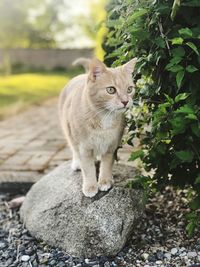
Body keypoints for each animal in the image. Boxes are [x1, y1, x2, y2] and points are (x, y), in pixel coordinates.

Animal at [59, 57, 138, 198]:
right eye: (111, 90)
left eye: (129, 89)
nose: (125, 101)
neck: (104, 117)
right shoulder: (84, 148)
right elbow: (88, 168)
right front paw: (90, 187)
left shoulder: (112, 146)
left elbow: (106, 164)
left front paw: (105, 181)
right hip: (68, 132)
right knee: (73, 148)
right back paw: (76, 163)